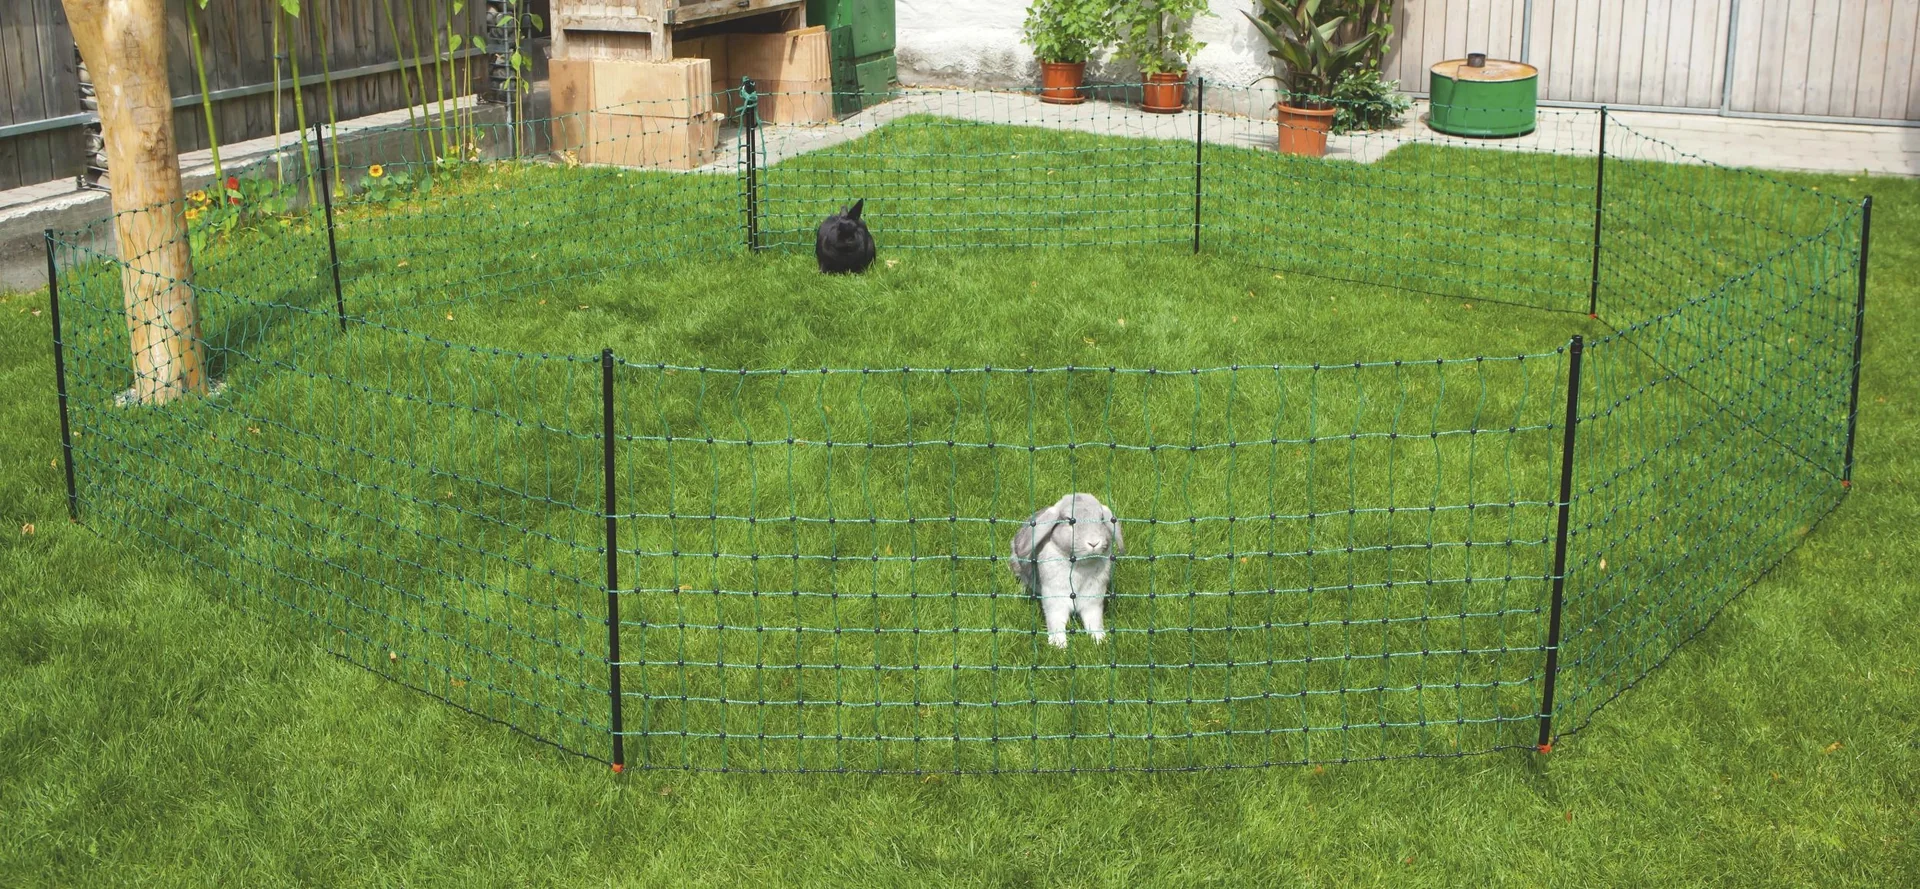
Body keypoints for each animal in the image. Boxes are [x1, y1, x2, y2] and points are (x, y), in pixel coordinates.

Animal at [1008, 493, 1124, 649]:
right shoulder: (1055, 599)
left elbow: (1094, 621)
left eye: (1101, 519)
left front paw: (1100, 640)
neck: (1080, 565)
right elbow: (1056, 621)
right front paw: (1059, 645)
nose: (1094, 542)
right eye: (1070, 521)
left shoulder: (1093, 600)